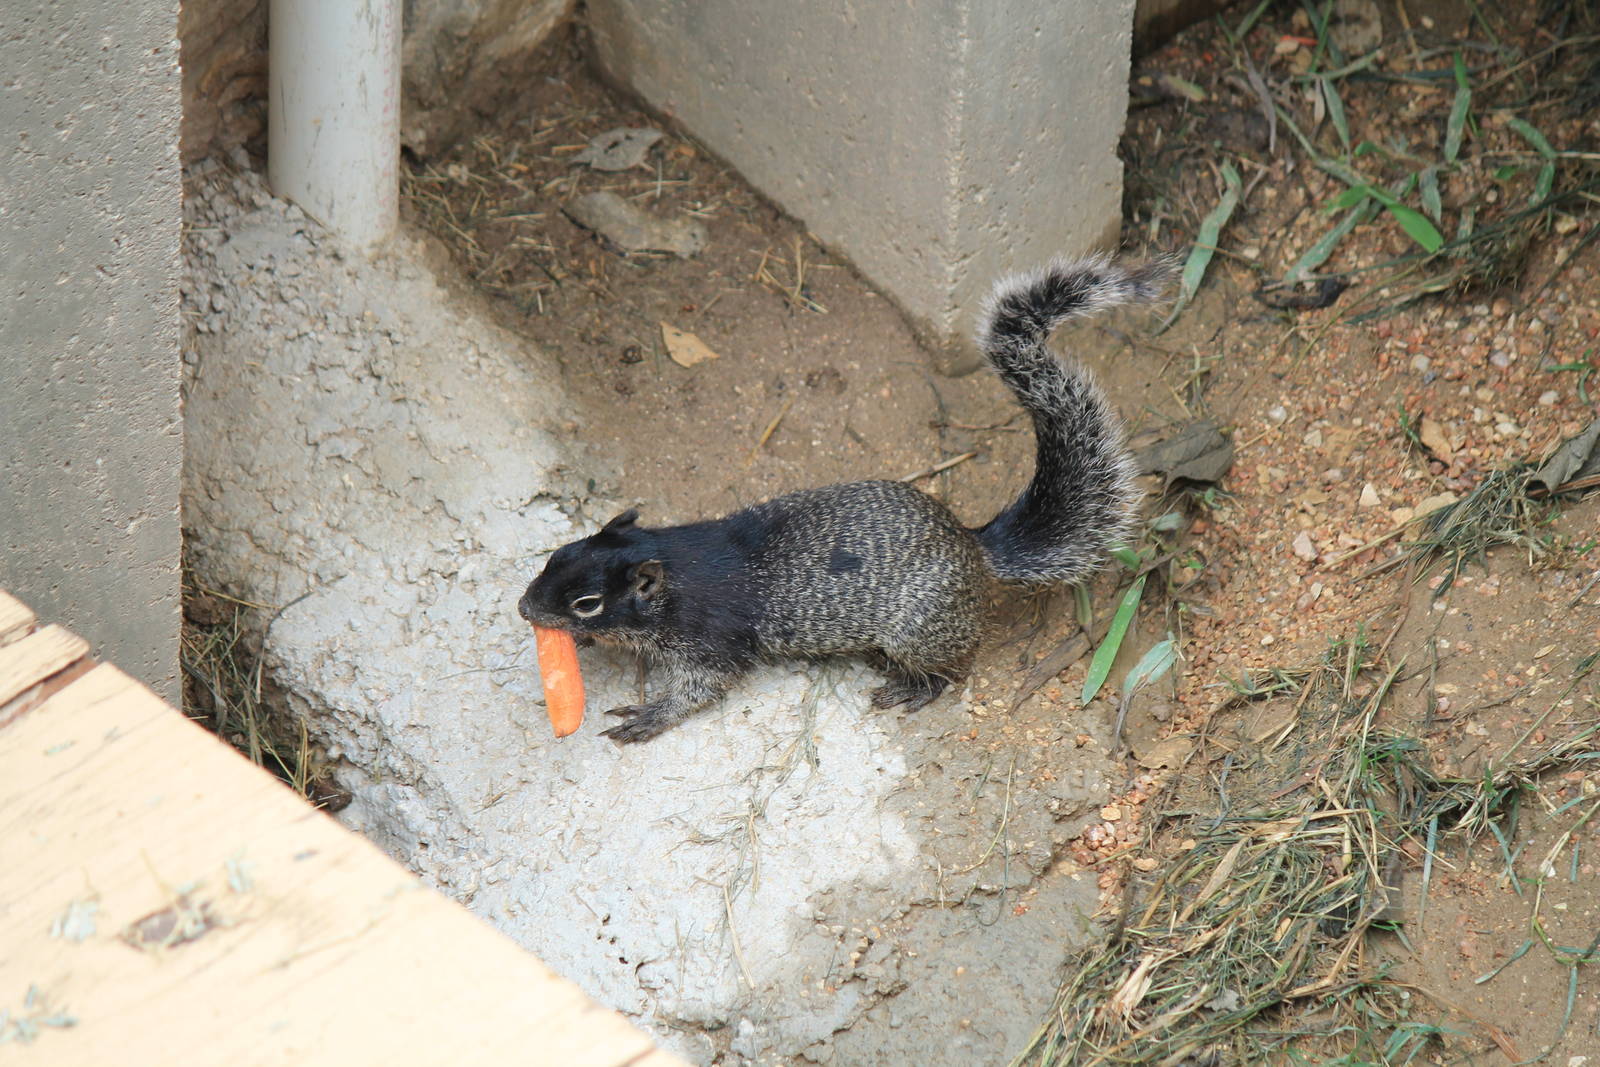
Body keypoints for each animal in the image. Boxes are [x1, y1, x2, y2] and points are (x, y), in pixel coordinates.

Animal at [517, 255, 1172, 743]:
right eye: (555, 556)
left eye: (587, 604)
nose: (525, 610)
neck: (676, 564)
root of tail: (974, 548)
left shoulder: (710, 643)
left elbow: (700, 690)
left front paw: (649, 713)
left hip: (919, 630)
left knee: (954, 667)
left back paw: (912, 688)